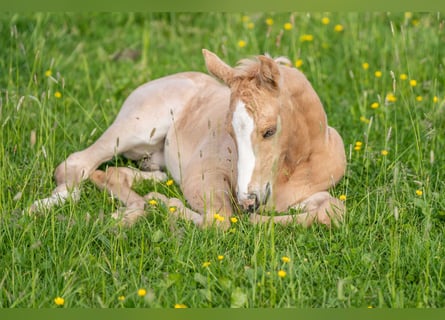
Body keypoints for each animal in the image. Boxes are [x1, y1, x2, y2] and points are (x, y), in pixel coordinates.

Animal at [30, 48, 346, 229]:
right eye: (229, 131)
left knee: (117, 173)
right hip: (135, 128)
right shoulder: (203, 176)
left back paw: (132, 206)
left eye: (269, 130)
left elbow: (333, 210)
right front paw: (166, 204)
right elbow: (219, 220)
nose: (248, 201)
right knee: (76, 164)